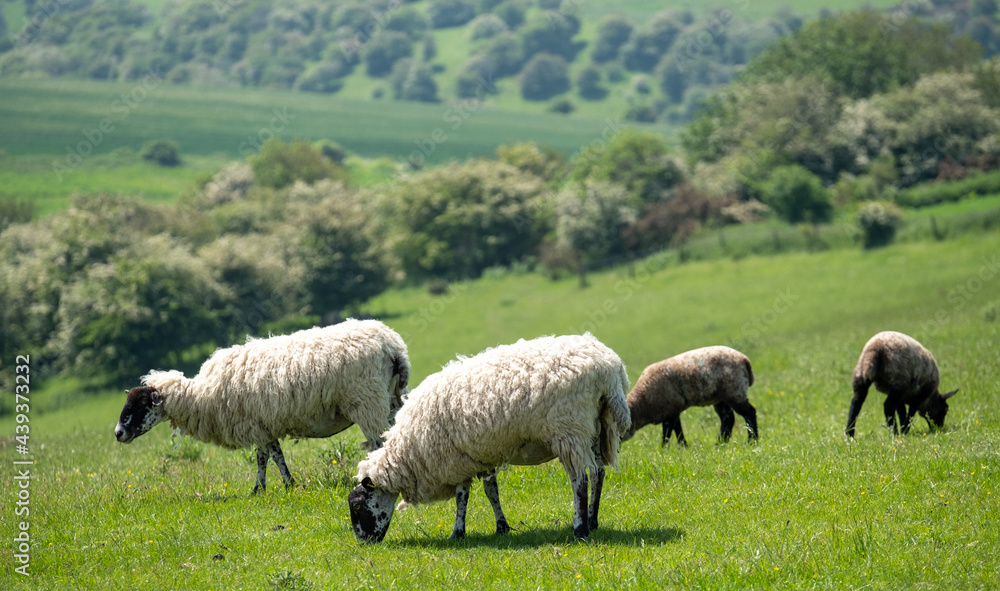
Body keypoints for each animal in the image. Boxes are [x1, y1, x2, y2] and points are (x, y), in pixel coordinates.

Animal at [114, 319, 410, 494]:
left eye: (142, 404)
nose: (118, 433)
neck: (200, 396)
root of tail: (393, 345)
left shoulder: (255, 425)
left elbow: (265, 458)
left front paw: (266, 488)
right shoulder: (263, 426)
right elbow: (272, 456)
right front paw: (276, 486)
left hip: (367, 401)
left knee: (378, 443)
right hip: (391, 400)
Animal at [347, 333, 631, 543]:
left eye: (358, 507)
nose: (364, 544)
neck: (408, 453)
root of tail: (609, 369)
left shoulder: (455, 460)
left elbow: (462, 497)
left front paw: (457, 532)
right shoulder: (481, 455)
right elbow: (490, 490)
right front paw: (501, 526)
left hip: (569, 428)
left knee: (579, 481)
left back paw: (580, 529)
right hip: (597, 427)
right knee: (598, 473)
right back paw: (593, 520)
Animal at [624, 346, 758, 446]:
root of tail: (744, 359)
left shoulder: (669, 410)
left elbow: (667, 433)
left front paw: (663, 449)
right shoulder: (673, 411)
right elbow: (678, 430)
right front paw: (683, 447)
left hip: (734, 390)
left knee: (749, 412)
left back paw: (752, 440)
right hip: (721, 397)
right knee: (728, 418)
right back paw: (720, 444)